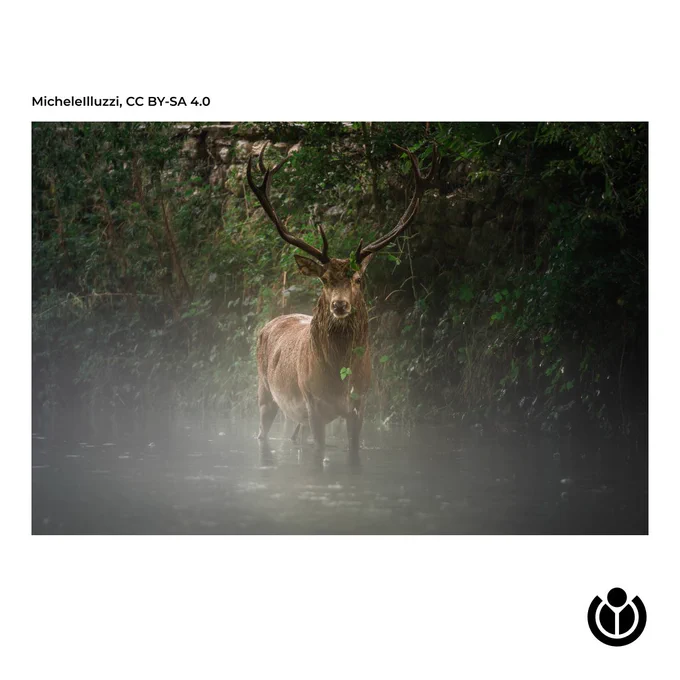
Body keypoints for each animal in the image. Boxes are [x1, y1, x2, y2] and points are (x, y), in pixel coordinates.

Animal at [246, 141, 438, 458]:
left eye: (358, 279)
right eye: (324, 279)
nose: (339, 305)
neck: (339, 379)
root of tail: (268, 324)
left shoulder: (361, 403)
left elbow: (353, 451)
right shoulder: (312, 403)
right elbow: (319, 452)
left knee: (294, 437)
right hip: (265, 391)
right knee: (262, 431)